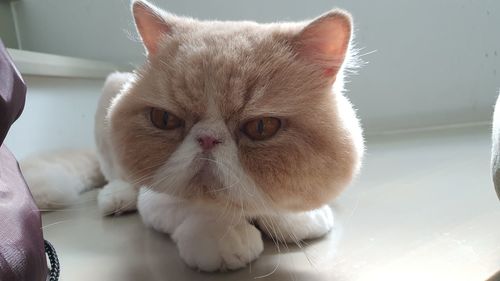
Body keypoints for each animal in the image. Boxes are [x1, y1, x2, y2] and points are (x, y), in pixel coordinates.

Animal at [21, 0, 364, 272]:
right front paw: (221, 235)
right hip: (111, 90)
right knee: (115, 174)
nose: (207, 138)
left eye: (262, 127)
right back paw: (117, 197)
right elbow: (194, 207)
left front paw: (293, 216)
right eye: (165, 120)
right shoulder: (157, 195)